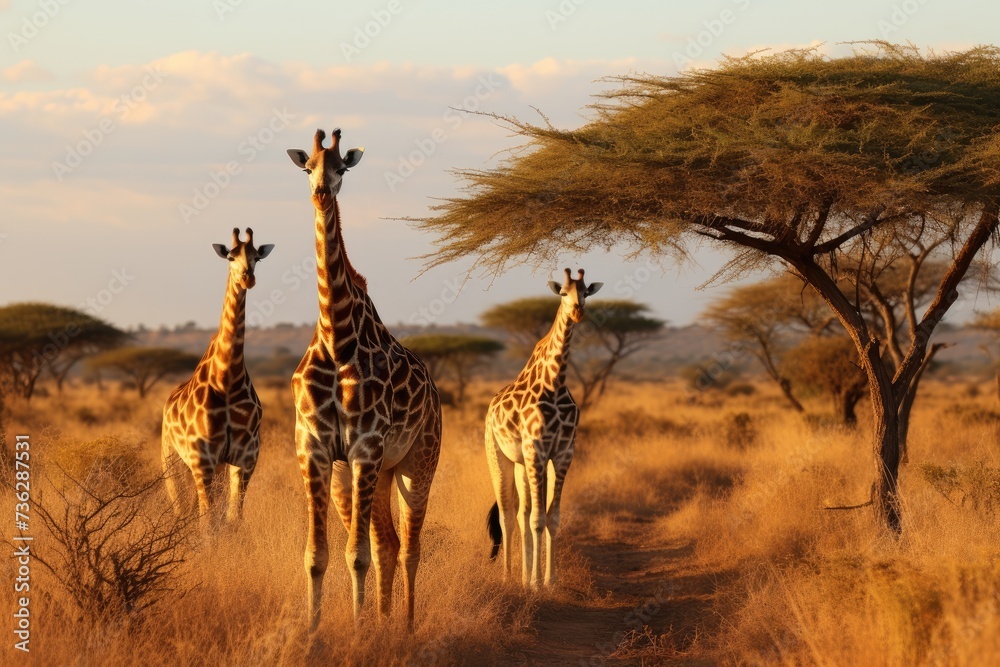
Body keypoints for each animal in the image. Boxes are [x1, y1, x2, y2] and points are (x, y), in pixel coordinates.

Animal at [161, 228, 274, 531]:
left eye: (257, 257)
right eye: (231, 257)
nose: (248, 278)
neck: (227, 379)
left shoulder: (245, 457)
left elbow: (233, 518)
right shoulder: (203, 459)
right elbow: (207, 522)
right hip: (172, 461)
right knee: (181, 510)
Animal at [285, 128, 441, 631]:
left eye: (341, 167)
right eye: (307, 166)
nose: (321, 192)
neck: (338, 337)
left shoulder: (366, 447)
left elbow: (356, 555)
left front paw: (356, 632)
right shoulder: (316, 450)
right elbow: (317, 555)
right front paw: (315, 631)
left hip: (417, 462)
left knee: (410, 546)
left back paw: (406, 625)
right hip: (373, 472)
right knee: (388, 541)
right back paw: (384, 617)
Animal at [485, 268, 602, 588]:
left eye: (586, 292)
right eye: (563, 292)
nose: (577, 311)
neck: (555, 383)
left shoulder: (562, 453)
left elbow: (551, 518)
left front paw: (550, 580)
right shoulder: (537, 450)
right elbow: (537, 519)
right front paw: (537, 584)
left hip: (521, 464)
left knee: (522, 514)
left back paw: (524, 575)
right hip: (498, 457)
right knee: (508, 516)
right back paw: (509, 576)